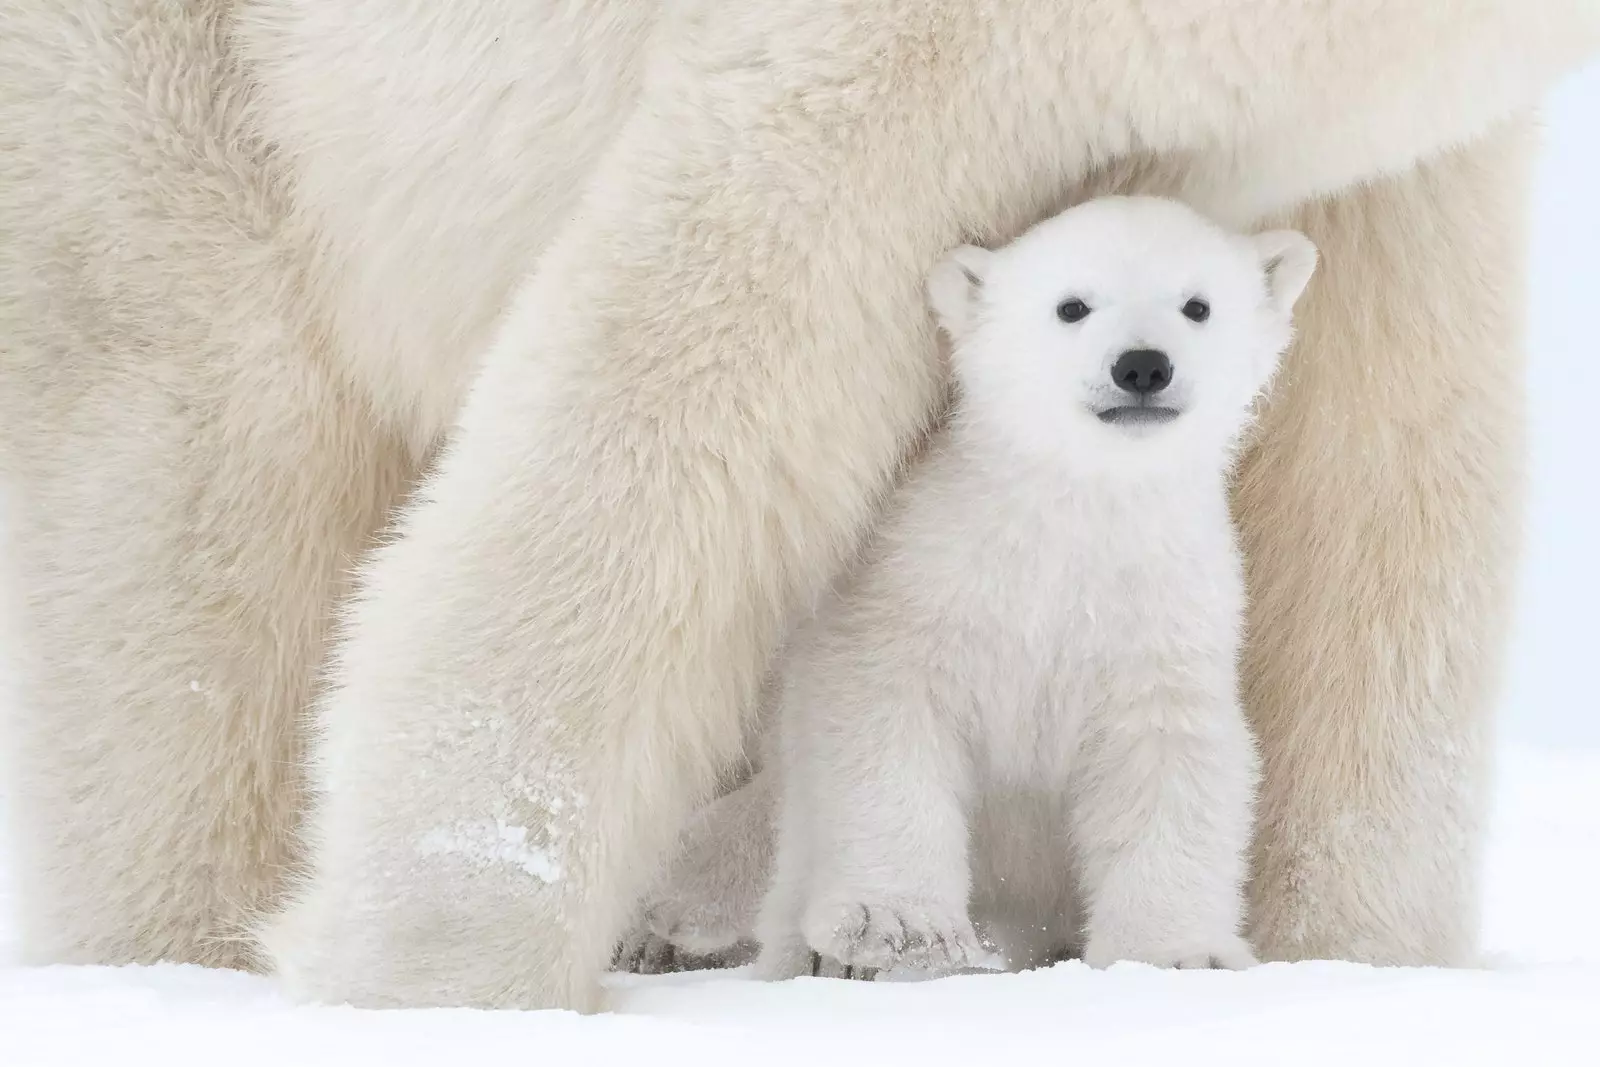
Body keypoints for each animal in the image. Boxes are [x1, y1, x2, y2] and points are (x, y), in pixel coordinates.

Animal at [0, 0, 1593, 1017]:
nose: (1143, 367)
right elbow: (698, 352)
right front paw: (442, 975)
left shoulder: (1381, 140)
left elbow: (1387, 458)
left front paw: (1347, 955)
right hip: (179, 97)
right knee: (196, 468)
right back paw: (185, 944)